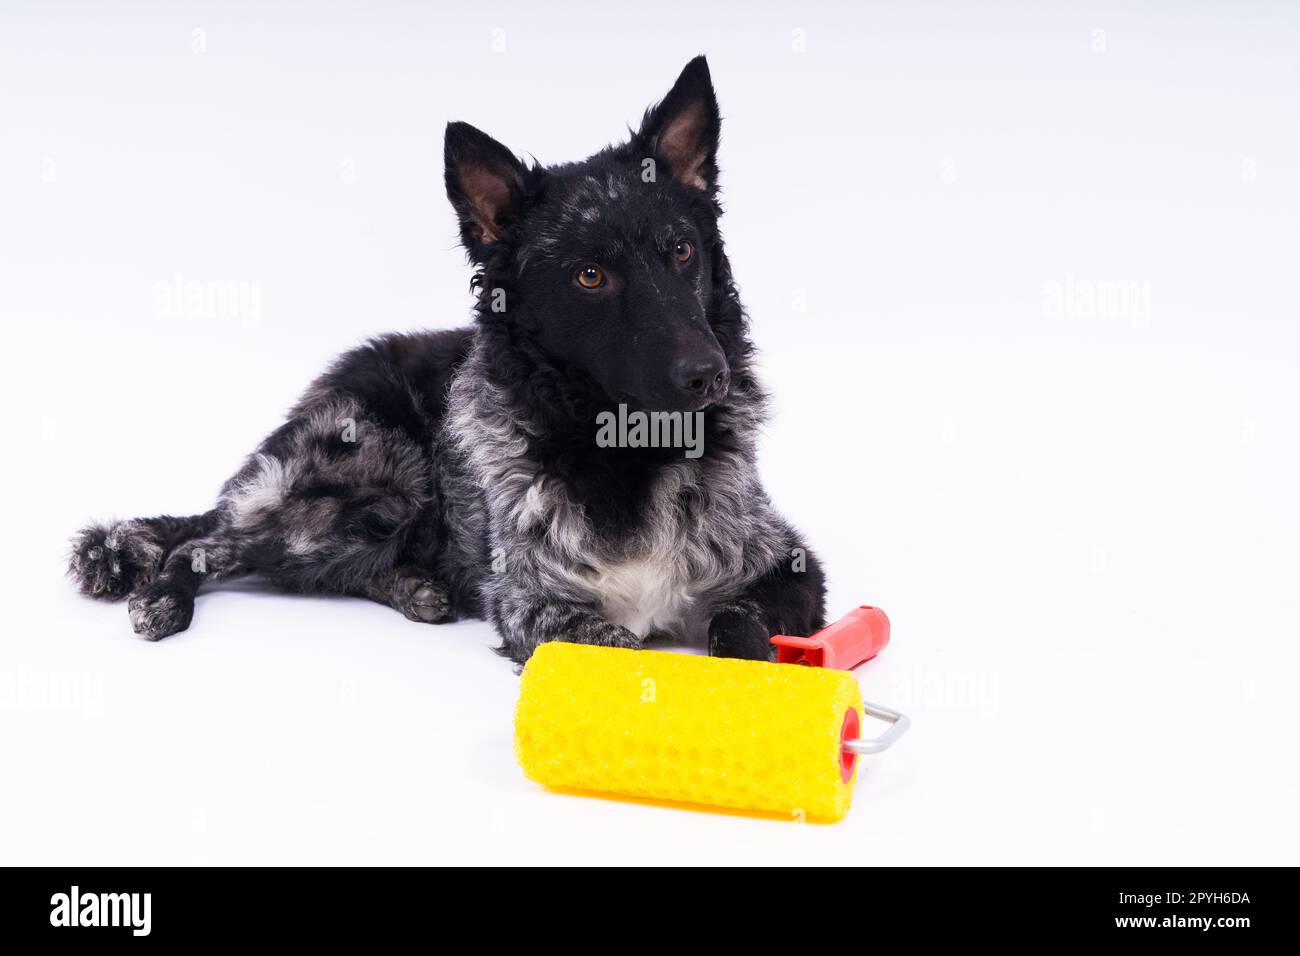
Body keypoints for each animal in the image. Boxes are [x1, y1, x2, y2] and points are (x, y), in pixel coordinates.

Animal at [65, 55, 821, 660]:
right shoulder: (541, 608)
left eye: (682, 251)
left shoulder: (789, 566)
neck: (626, 456)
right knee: (209, 543)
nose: (709, 373)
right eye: (590, 277)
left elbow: (736, 628)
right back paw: (168, 598)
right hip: (373, 476)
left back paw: (416, 586)